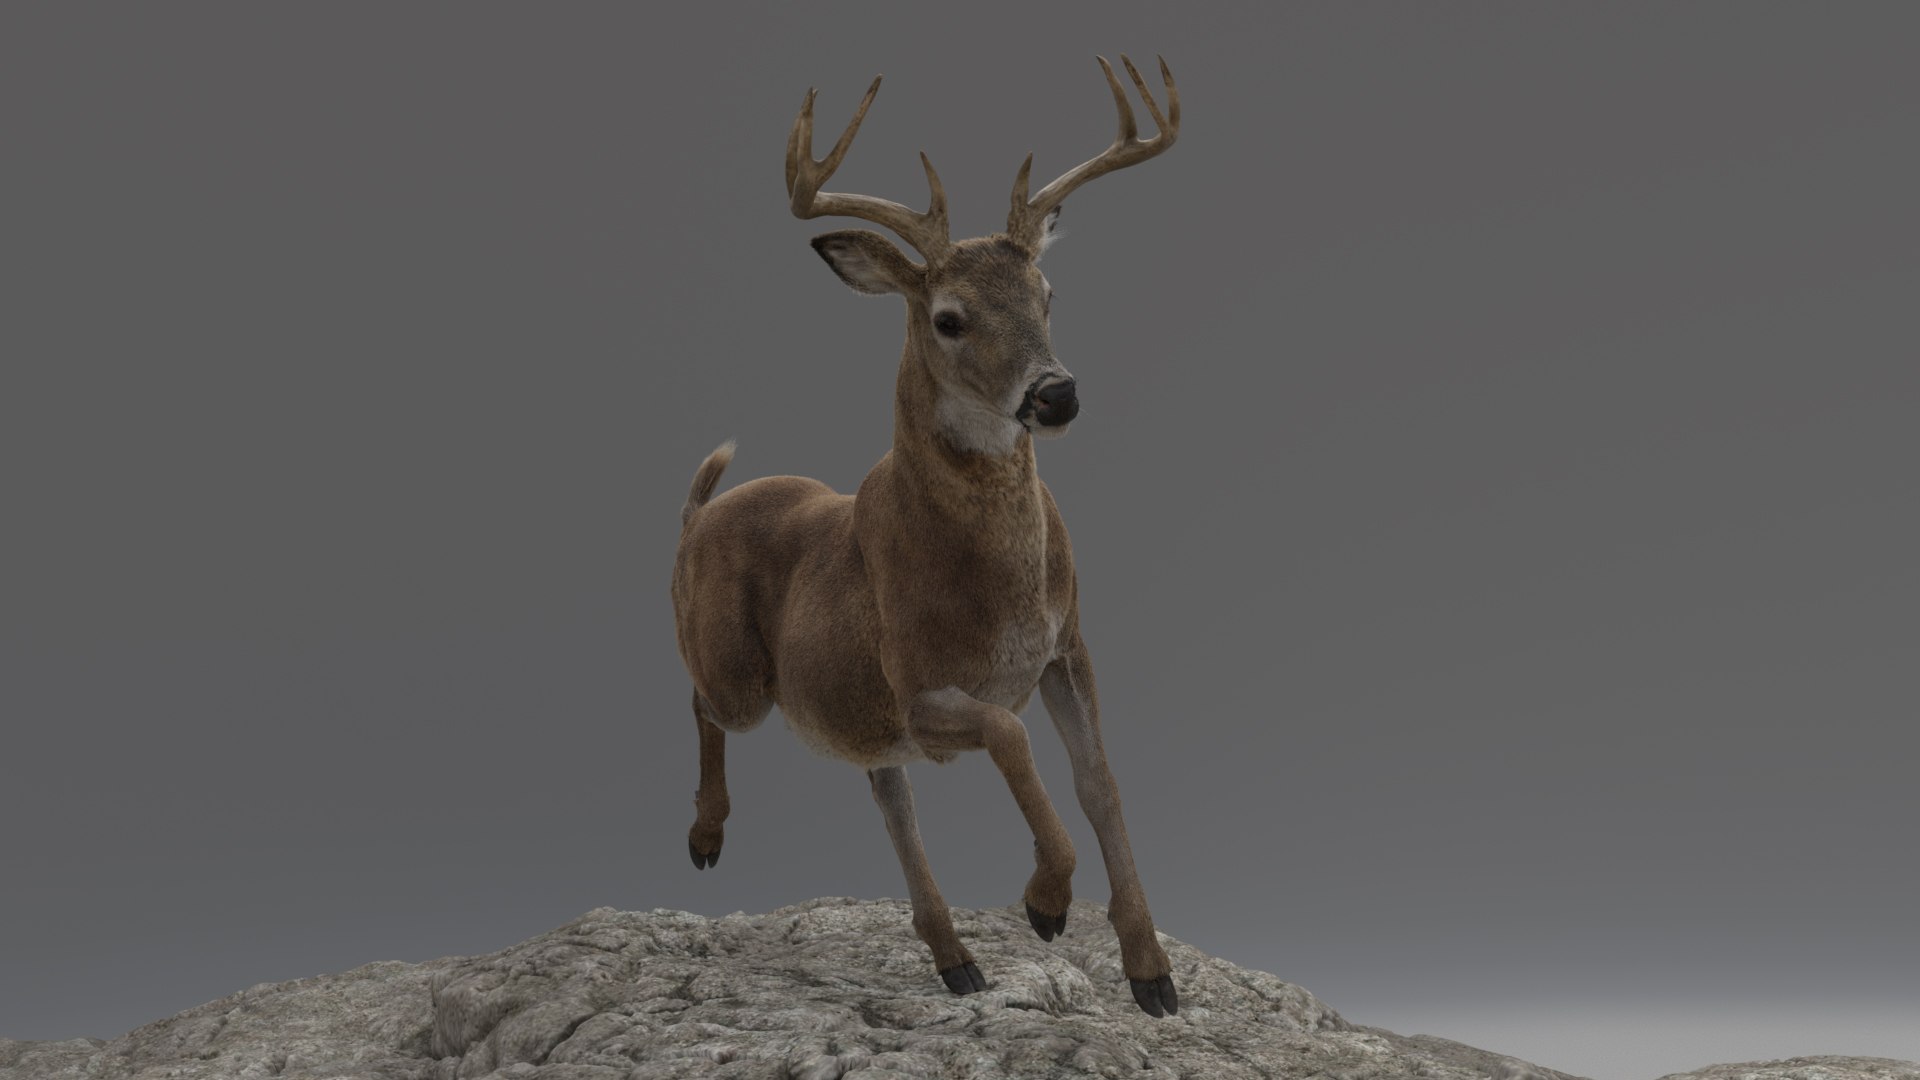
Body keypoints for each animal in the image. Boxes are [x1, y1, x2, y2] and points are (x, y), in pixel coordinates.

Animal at [670, 54, 1183, 1017]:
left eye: (1049, 294)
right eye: (949, 317)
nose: (1056, 394)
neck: (1001, 585)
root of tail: (697, 517)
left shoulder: (1066, 647)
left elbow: (1102, 784)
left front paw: (1151, 972)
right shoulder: (919, 685)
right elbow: (1015, 739)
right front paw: (1046, 902)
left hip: (851, 707)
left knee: (885, 788)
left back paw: (955, 958)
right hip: (741, 672)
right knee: (702, 700)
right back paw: (705, 837)